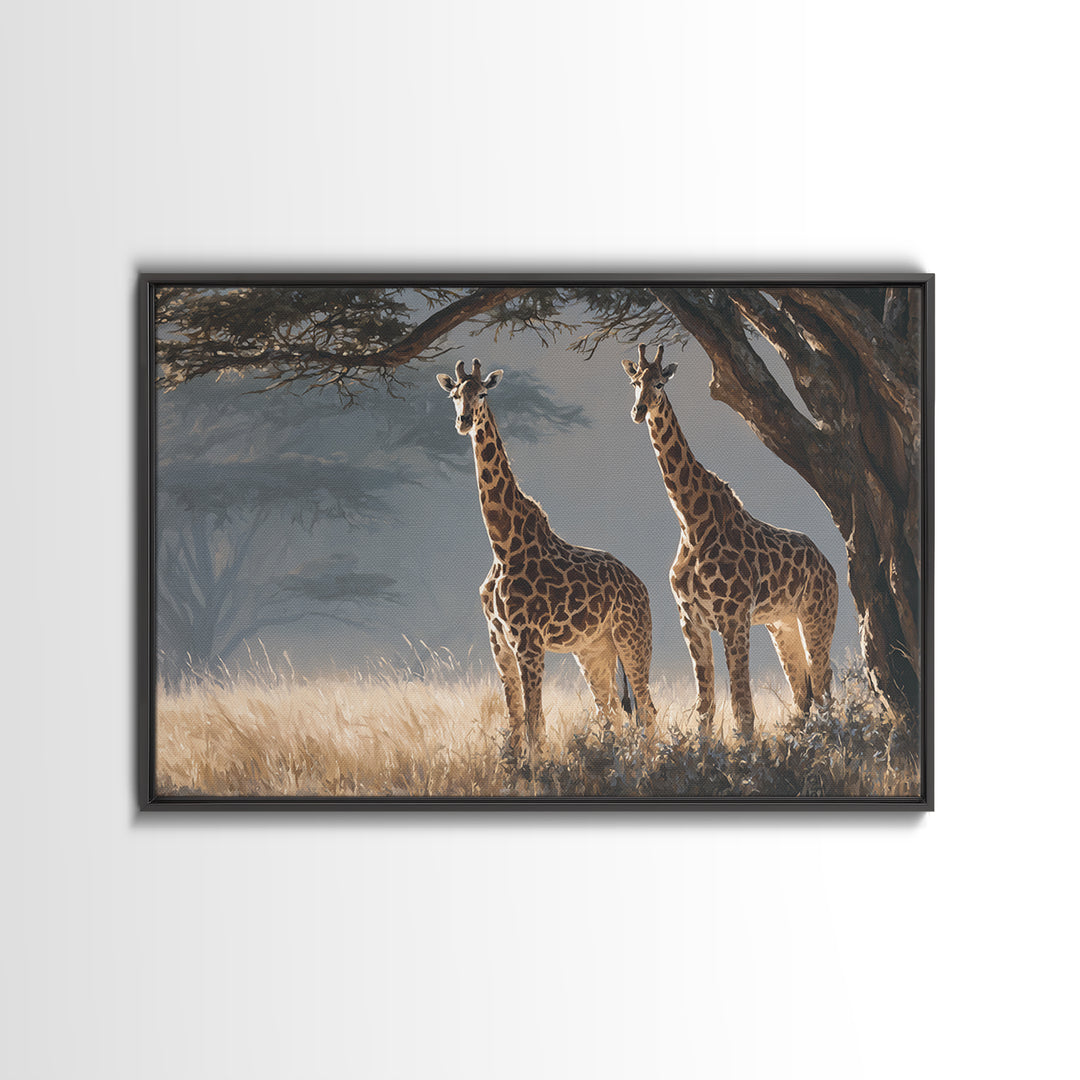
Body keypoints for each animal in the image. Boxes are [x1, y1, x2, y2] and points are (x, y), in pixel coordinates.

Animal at [437, 358, 657, 762]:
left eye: (483, 393)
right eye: (455, 394)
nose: (463, 421)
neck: (502, 544)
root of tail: (641, 585)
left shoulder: (528, 640)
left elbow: (533, 719)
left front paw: (538, 768)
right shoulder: (498, 639)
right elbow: (515, 718)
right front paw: (515, 767)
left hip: (632, 638)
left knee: (646, 708)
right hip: (593, 650)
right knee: (610, 710)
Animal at [622, 344, 838, 738]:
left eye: (660, 383)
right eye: (635, 382)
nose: (639, 411)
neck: (691, 522)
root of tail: (828, 565)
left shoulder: (733, 617)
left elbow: (742, 705)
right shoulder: (690, 618)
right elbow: (705, 706)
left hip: (816, 615)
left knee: (823, 682)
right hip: (781, 624)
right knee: (803, 690)